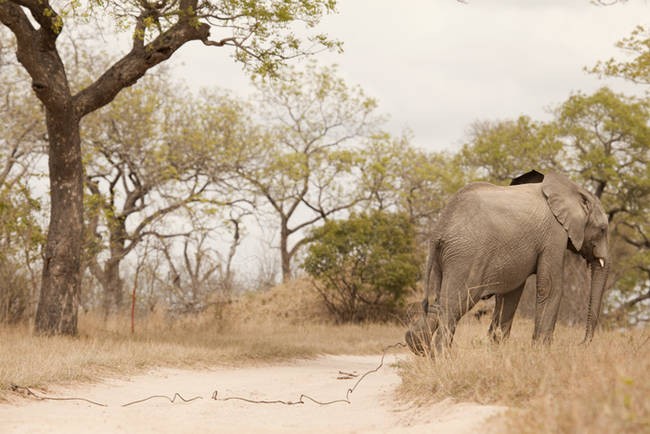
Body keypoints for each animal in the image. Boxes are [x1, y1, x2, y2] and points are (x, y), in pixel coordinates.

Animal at [404, 170, 608, 356]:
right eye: (603, 229)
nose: (580, 344)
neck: (573, 189)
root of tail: (440, 229)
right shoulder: (554, 234)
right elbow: (549, 288)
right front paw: (541, 353)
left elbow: (511, 293)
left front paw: (497, 350)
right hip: (466, 256)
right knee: (456, 304)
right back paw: (442, 358)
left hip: (446, 257)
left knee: (440, 302)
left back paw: (417, 345)